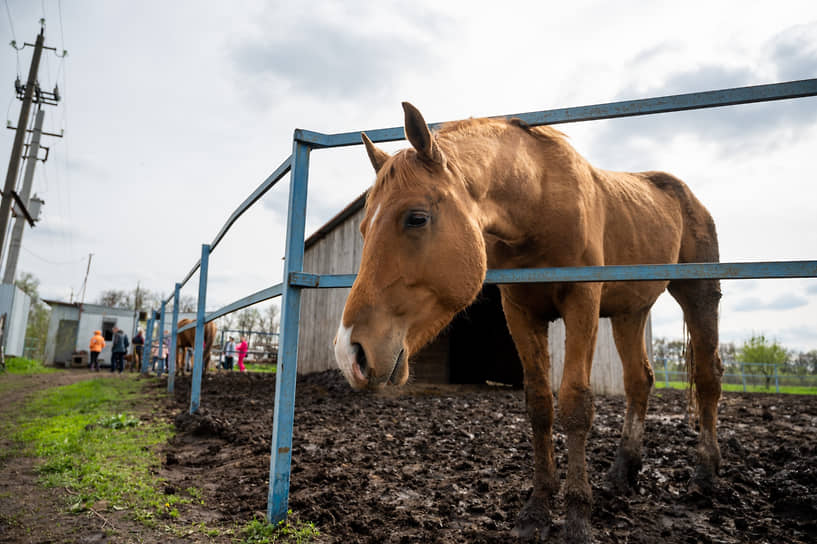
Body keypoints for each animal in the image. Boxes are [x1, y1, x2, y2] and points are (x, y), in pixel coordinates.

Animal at [332, 103, 720, 544]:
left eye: (416, 218)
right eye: (363, 228)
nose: (350, 353)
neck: (538, 202)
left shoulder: (582, 303)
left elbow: (575, 404)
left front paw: (577, 517)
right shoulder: (520, 310)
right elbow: (539, 405)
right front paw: (537, 509)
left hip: (698, 294)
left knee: (708, 377)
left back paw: (705, 475)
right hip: (629, 312)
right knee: (639, 380)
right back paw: (623, 472)